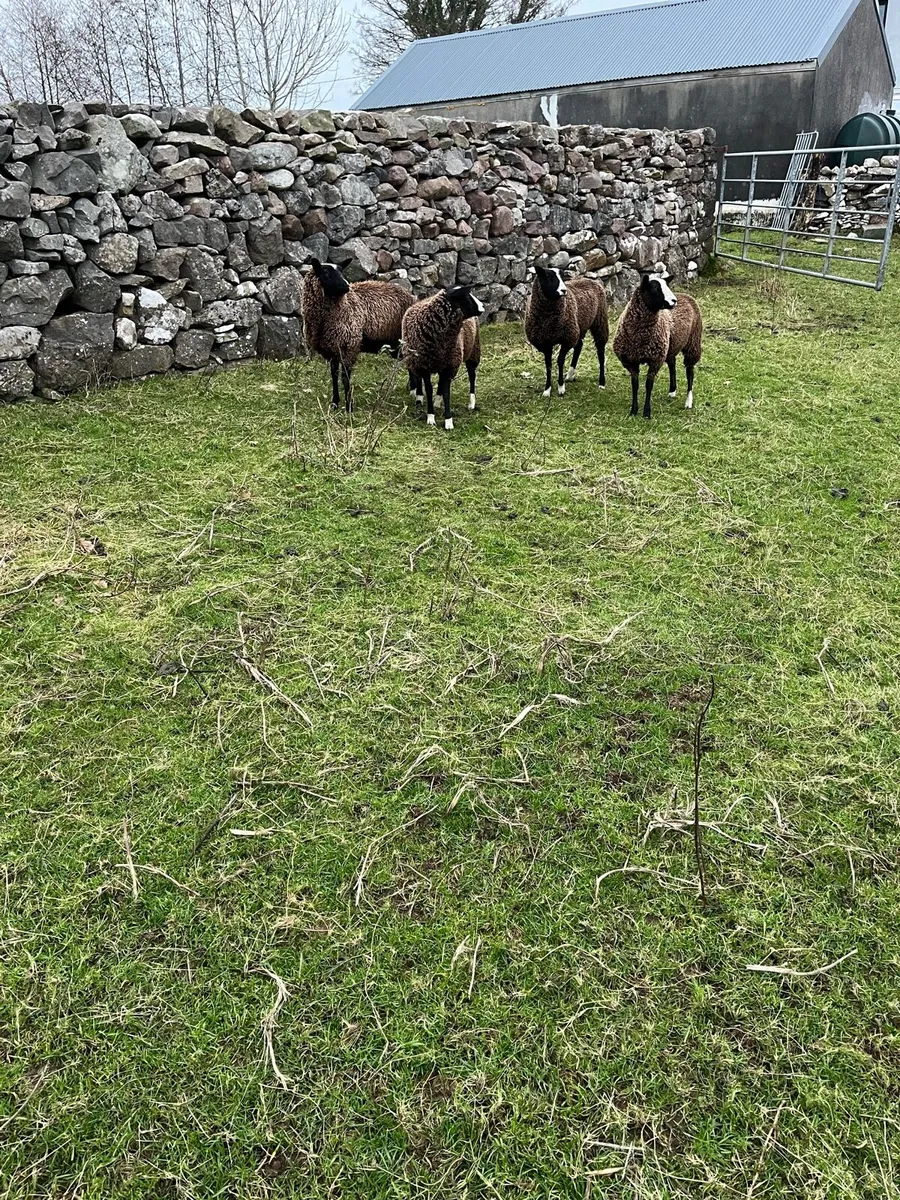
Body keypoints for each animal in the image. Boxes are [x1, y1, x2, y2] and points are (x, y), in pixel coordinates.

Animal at [301, 258, 417, 411]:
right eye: (325, 272)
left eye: (341, 270)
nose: (346, 286)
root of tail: (412, 296)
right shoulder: (332, 350)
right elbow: (334, 376)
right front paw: (335, 403)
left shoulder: (349, 346)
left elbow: (345, 378)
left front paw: (349, 406)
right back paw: (413, 389)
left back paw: (415, 392)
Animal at [401, 286, 484, 430]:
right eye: (466, 296)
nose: (483, 306)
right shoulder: (424, 366)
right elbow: (429, 390)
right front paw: (430, 417)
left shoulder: (449, 366)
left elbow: (447, 393)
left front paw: (448, 421)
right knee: (435, 382)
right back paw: (434, 402)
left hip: (473, 350)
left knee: (472, 376)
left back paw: (471, 403)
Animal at [524, 264, 609, 398]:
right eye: (548, 276)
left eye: (562, 276)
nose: (564, 291)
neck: (548, 320)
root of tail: (591, 280)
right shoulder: (546, 342)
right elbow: (548, 365)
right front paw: (547, 390)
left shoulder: (567, 339)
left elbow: (560, 361)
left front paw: (561, 387)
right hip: (579, 326)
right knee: (579, 346)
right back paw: (569, 375)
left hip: (599, 321)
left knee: (600, 351)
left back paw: (601, 382)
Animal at [613, 271, 703, 419]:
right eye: (654, 288)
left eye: (666, 285)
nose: (674, 301)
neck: (640, 337)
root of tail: (685, 295)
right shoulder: (631, 360)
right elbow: (635, 385)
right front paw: (633, 411)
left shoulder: (655, 360)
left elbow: (649, 385)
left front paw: (646, 413)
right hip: (670, 346)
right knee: (672, 365)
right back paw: (672, 391)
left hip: (693, 342)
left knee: (690, 371)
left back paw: (688, 401)